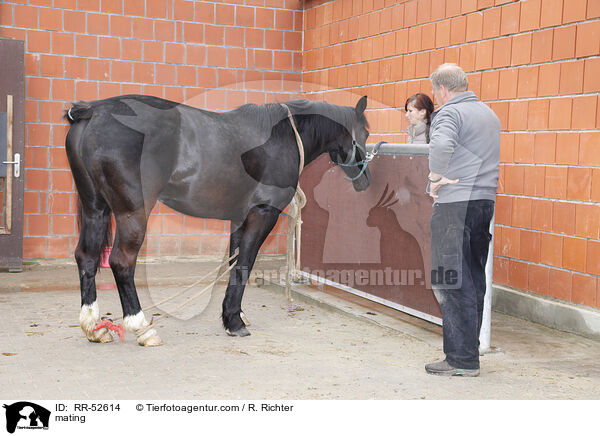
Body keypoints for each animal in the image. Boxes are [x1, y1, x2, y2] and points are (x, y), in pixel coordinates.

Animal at [64, 93, 370, 346]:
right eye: (365, 131)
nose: (365, 180)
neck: (280, 137)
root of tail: (93, 111)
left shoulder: (239, 217)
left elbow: (234, 261)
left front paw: (235, 315)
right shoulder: (263, 213)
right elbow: (245, 263)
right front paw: (234, 322)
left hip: (95, 208)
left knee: (86, 257)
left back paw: (93, 326)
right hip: (132, 212)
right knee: (122, 261)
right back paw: (142, 327)